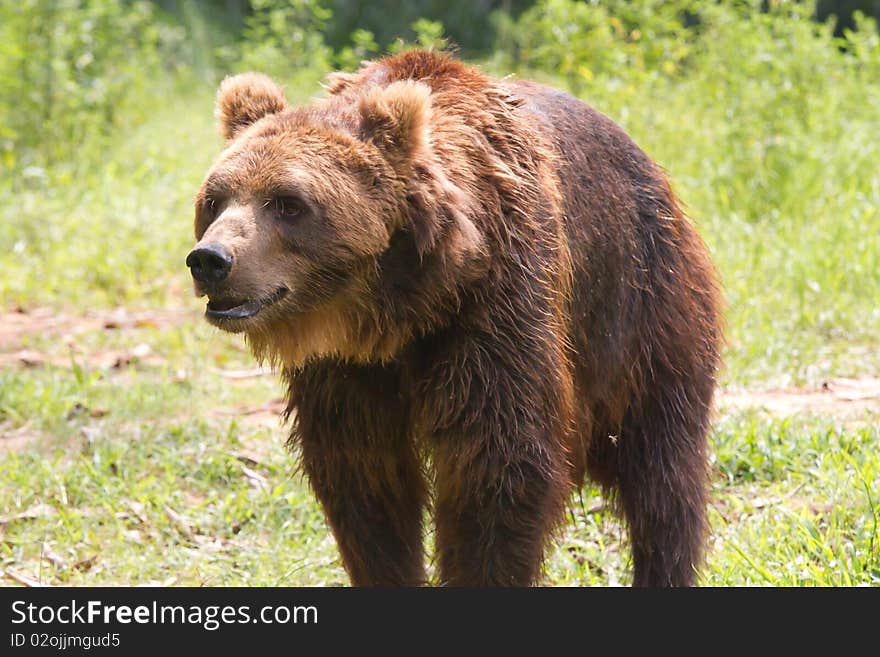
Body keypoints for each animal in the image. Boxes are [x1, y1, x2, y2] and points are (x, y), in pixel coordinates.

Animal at [186, 50, 720, 584]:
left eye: (288, 202)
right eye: (215, 199)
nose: (210, 260)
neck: (397, 309)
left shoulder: (496, 305)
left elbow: (499, 467)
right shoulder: (347, 368)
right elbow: (365, 477)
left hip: (644, 309)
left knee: (662, 471)